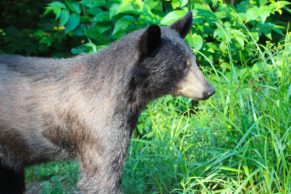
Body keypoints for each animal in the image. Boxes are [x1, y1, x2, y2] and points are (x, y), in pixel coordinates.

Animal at [0, 11, 214, 192]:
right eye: (182, 65)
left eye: (195, 60)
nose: (209, 90)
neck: (129, 96)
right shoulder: (99, 129)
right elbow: (102, 175)